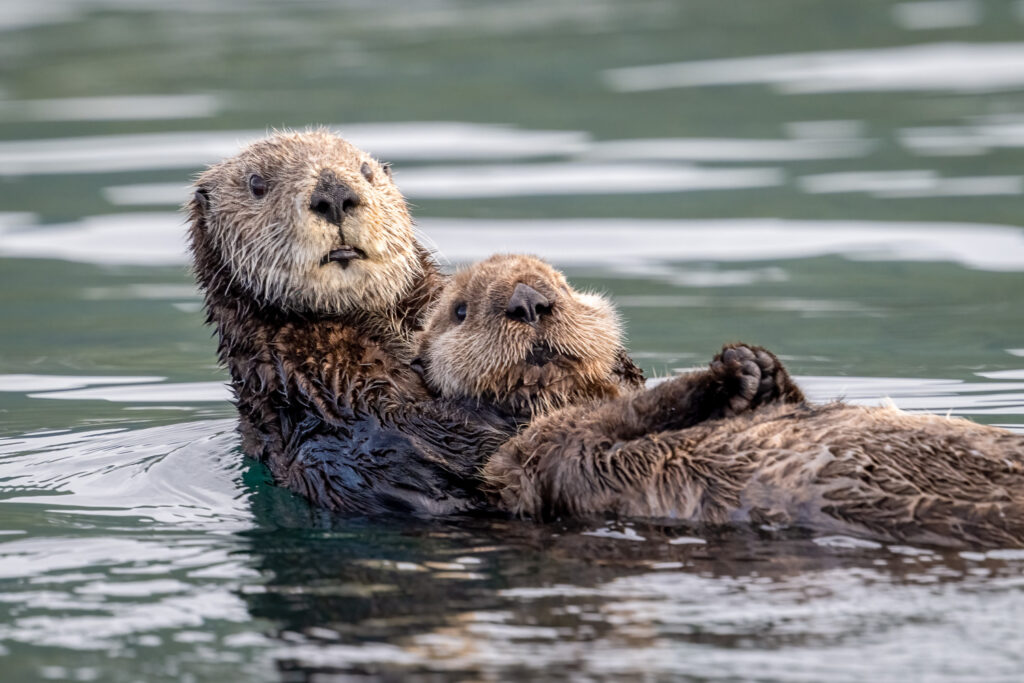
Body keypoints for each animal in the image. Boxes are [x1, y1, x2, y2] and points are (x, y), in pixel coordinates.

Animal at [418, 255, 1024, 547]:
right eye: (459, 311)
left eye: (562, 285)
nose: (530, 299)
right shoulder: (536, 456)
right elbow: (624, 416)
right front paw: (725, 373)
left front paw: (756, 366)